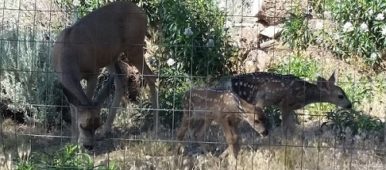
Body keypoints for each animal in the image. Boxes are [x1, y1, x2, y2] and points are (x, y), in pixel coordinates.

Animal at [52, 1, 158, 150]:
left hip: (134, 47)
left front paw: (78, 144)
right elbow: (73, 108)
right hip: (111, 57)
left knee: (150, 76)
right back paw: (106, 131)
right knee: (121, 80)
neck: (68, 56)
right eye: (83, 126)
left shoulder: (93, 72)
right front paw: (72, 143)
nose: (89, 146)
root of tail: (143, 13)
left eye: (96, 125)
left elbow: (87, 99)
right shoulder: (62, 79)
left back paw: (155, 128)